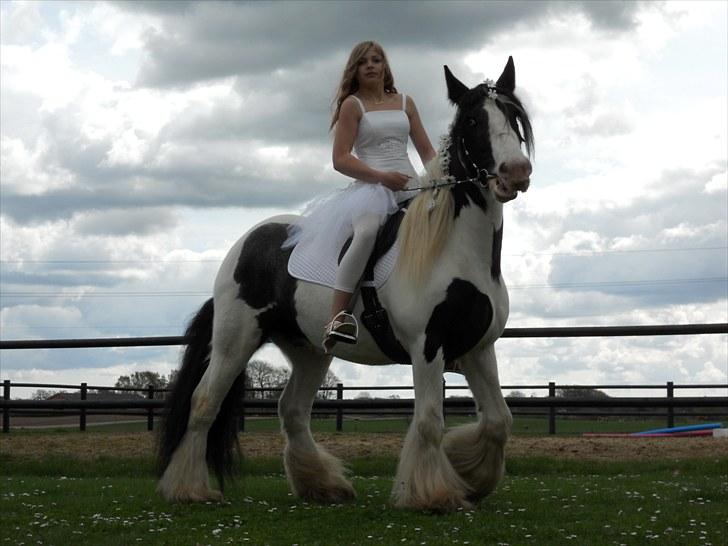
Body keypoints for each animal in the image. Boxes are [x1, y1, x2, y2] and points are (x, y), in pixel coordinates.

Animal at [158, 57, 536, 512]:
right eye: (474, 121)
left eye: (514, 116)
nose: (516, 172)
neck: (455, 250)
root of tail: (248, 243)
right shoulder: (427, 347)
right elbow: (429, 421)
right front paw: (433, 494)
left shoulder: (479, 347)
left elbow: (499, 420)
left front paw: (470, 476)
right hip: (236, 339)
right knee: (203, 404)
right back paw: (190, 489)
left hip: (309, 350)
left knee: (292, 411)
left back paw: (322, 485)